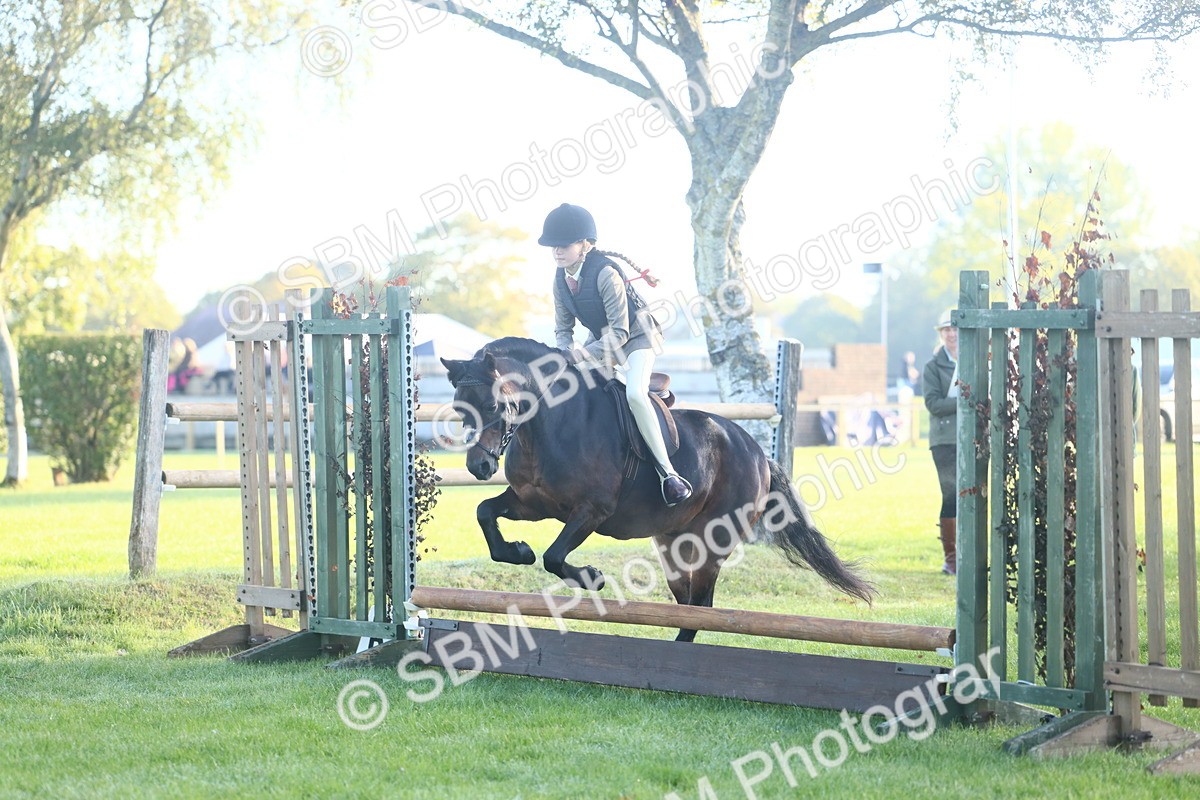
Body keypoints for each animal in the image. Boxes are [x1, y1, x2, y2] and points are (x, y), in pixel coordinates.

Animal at [440, 337, 875, 641]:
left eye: (493, 407)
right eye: (460, 409)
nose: (479, 466)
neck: (547, 425)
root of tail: (757, 453)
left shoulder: (591, 511)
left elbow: (554, 556)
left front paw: (592, 577)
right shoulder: (532, 503)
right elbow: (486, 512)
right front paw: (518, 551)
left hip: (713, 542)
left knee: (701, 606)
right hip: (674, 545)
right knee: (687, 604)